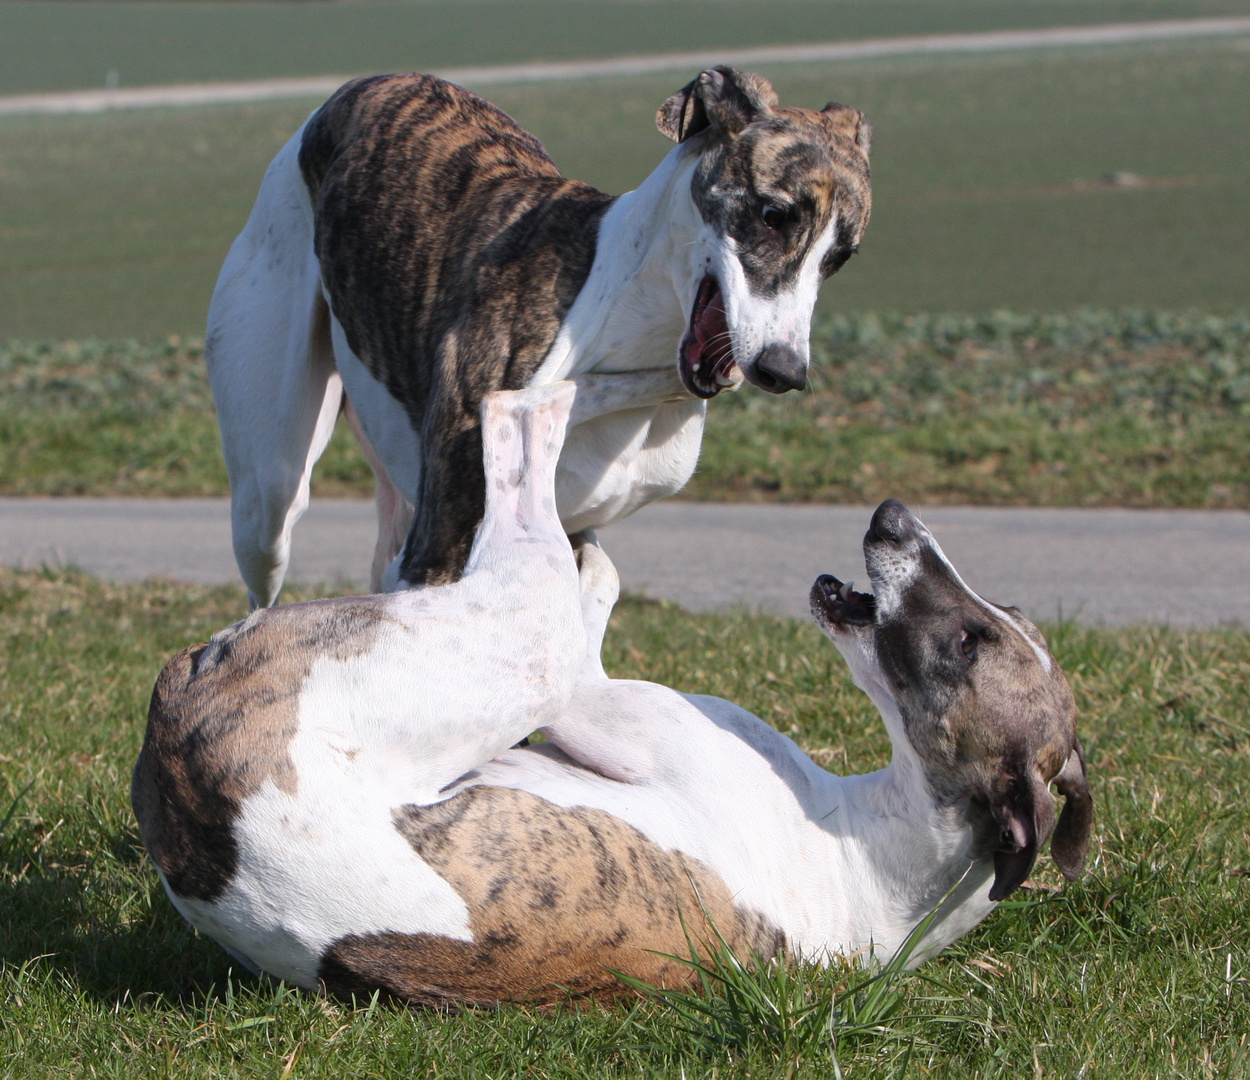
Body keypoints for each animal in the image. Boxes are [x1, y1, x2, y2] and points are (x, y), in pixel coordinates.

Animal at [136, 385, 1090, 1010]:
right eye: (1004, 616)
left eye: (970, 644)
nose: (895, 517)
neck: (884, 865)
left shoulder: (605, 708)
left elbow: (588, 644)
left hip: (511, 642)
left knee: (522, 480)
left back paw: (544, 404)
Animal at [205, 67, 870, 607]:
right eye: (773, 215)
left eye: (841, 257)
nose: (785, 371)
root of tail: (353, 90)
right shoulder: (437, 550)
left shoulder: (564, 530)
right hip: (268, 497)